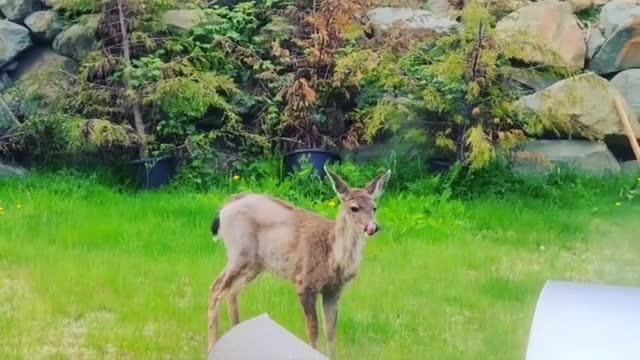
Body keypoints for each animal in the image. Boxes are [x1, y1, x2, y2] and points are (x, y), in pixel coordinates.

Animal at [208, 165, 392, 358]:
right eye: (354, 208)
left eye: (374, 208)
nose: (372, 227)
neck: (333, 257)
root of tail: (224, 208)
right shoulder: (304, 283)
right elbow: (313, 330)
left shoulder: (333, 290)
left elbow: (331, 331)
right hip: (239, 253)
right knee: (216, 289)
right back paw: (212, 346)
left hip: (254, 264)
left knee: (231, 292)